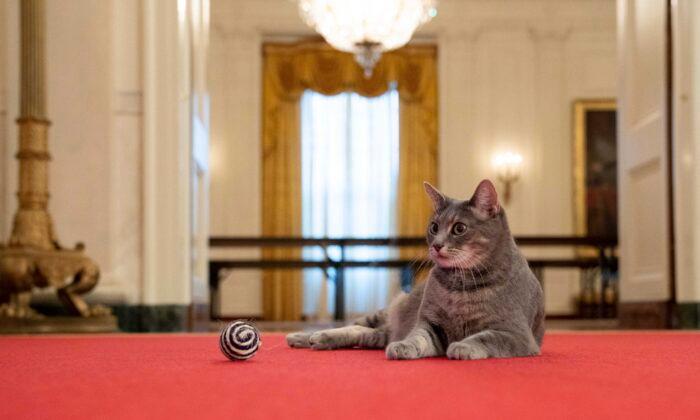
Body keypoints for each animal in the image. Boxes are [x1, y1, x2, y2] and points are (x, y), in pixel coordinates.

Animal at [288, 179, 544, 360]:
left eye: (459, 228)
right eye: (434, 227)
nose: (436, 245)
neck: (460, 284)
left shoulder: (515, 333)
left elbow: (486, 338)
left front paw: (463, 346)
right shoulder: (430, 323)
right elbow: (418, 337)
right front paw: (404, 346)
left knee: (365, 333)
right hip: (384, 311)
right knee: (354, 325)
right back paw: (304, 336)